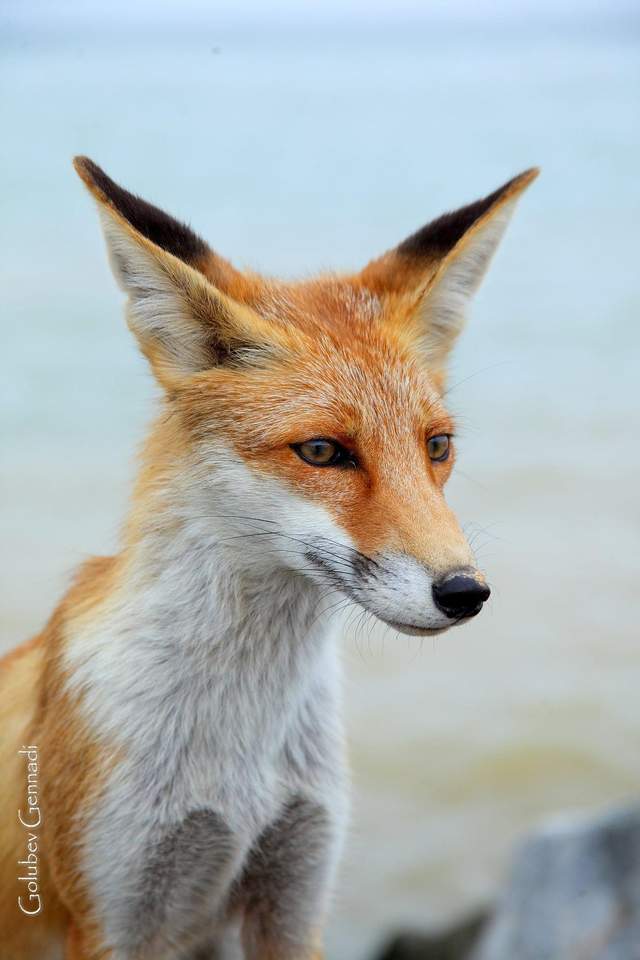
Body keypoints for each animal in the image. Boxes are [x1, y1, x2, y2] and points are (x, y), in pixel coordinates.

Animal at [0, 159, 536, 960]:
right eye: (321, 451)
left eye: (437, 446)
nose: (465, 592)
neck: (240, 749)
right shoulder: (114, 914)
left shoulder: (294, 892)